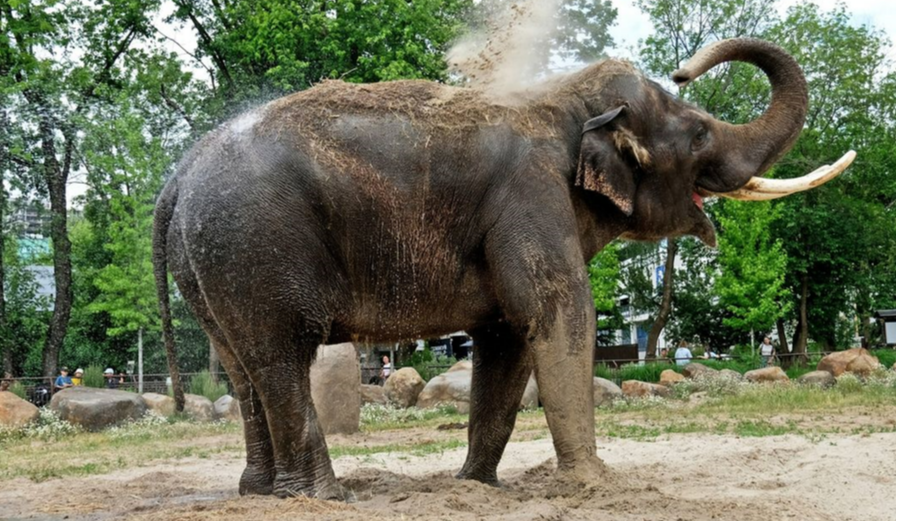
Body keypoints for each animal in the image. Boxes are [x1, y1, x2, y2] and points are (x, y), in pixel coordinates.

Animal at [152, 38, 848, 498]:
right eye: (700, 134)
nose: (685, 64)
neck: (563, 99)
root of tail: (179, 174)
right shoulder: (530, 196)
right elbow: (560, 314)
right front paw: (592, 485)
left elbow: (510, 340)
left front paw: (477, 487)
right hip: (257, 246)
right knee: (281, 357)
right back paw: (324, 498)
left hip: (209, 262)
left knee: (241, 366)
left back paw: (258, 493)